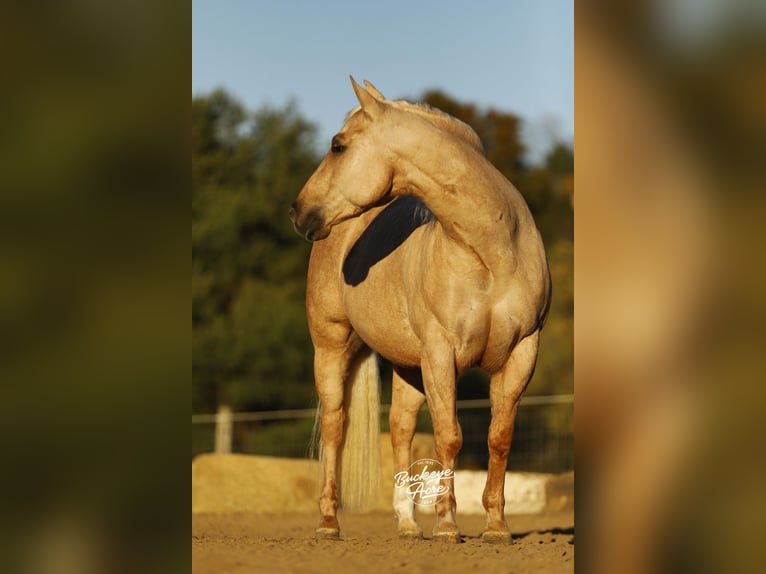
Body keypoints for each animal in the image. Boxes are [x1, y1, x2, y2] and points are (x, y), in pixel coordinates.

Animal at [289, 77, 551, 543]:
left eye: (338, 146)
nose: (298, 211)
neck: (494, 253)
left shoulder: (522, 353)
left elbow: (499, 437)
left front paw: (496, 527)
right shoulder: (441, 354)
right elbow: (450, 436)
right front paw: (447, 525)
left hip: (407, 365)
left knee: (399, 429)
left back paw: (409, 525)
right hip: (333, 347)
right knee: (336, 427)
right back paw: (328, 523)